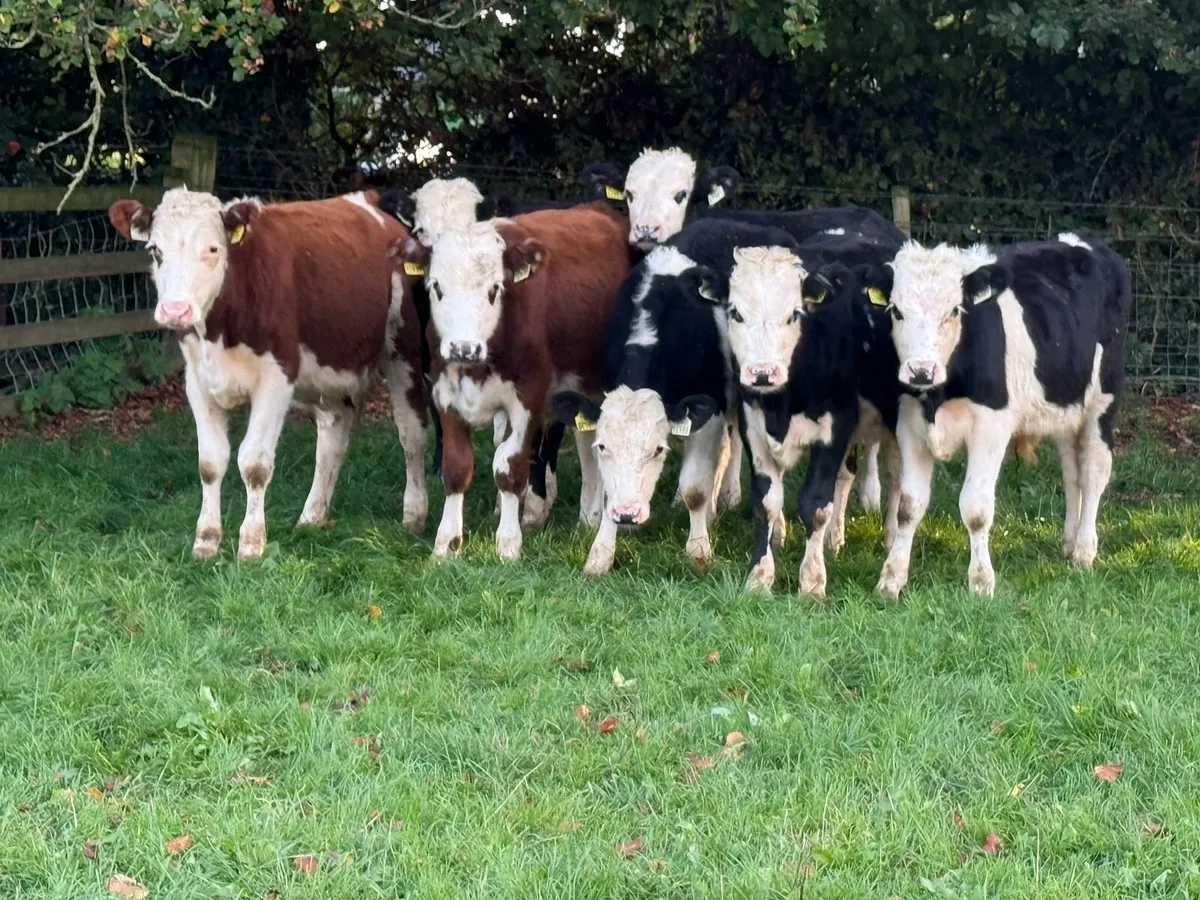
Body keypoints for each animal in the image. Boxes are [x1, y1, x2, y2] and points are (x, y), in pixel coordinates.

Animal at [107, 187, 429, 560]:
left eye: (213, 248)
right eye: (155, 250)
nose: (176, 310)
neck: (220, 329)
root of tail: (367, 201)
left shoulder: (277, 379)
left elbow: (254, 464)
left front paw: (251, 543)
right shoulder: (197, 382)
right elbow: (209, 463)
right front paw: (206, 540)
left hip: (404, 350)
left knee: (411, 433)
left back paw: (414, 514)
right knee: (332, 436)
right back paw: (312, 515)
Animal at [392, 202, 630, 560]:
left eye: (494, 289)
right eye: (436, 287)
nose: (463, 348)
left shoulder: (526, 399)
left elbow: (509, 468)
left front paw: (508, 543)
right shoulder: (445, 394)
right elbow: (456, 468)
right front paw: (446, 543)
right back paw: (588, 515)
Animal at [549, 219, 799, 576]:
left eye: (658, 449)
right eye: (602, 447)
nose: (628, 515)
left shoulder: (708, 409)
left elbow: (696, 487)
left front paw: (698, 550)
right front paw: (600, 554)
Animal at [692, 231, 904, 598]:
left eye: (794, 314)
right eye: (735, 312)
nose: (763, 373)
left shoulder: (835, 427)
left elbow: (815, 503)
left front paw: (812, 581)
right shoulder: (753, 426)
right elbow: (765, 501)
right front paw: (759, 576)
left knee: (895, 474)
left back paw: (890, 537)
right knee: (845, 477)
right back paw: (833, 538)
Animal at [856, 232, 1131, 599]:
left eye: (954, 310)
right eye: (896, 312)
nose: (921, 371)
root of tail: (1085, 241)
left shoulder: (990, 427)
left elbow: (975, 508)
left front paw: (981, 582)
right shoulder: (909, 423)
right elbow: (908, 506)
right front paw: (891, 578)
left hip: (1103, 401)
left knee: (1094, 471)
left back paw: (1084, 551)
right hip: (1063, 408)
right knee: (1071, 471)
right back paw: (1069, 542)